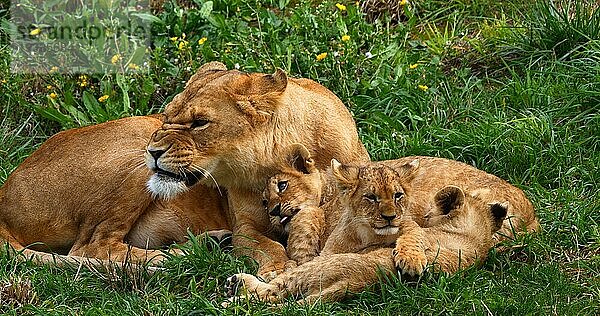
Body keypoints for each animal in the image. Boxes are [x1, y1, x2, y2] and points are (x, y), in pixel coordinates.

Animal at [145, 61, 370, 276]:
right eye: (166, 117)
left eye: (200, 122)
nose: (152, 151)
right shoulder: (245, 226)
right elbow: (266, 245)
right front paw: (278, 268)